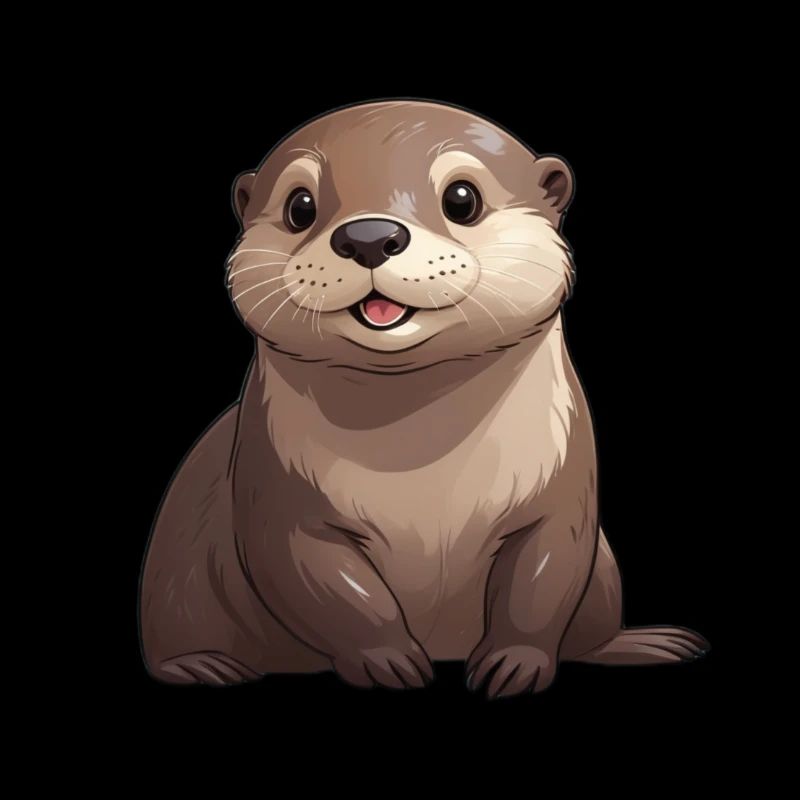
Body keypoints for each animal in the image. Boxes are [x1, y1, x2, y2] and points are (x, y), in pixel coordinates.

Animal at [139, 100, 708, 697]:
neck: (424, 474)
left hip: (603, 575)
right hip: (173, 587)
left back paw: (644, 644)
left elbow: (542, 578)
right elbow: (326, 585)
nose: (369, 235)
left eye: (462, 199)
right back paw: (202, 666)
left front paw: (515, 664)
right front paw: (386, 660)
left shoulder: (561, 486)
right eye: (300, 207)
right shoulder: (276, 492)